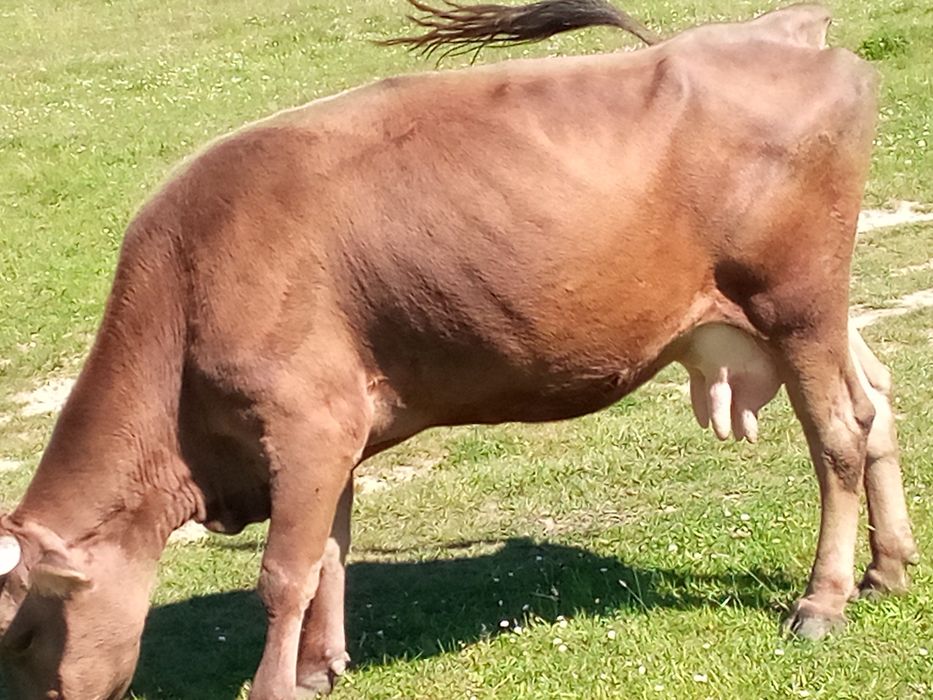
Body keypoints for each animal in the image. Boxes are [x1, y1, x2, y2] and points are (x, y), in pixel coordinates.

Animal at [0, 1, 919, 698]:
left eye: (20, 636)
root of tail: (779, 27)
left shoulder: (304, 422)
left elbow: (285, 573)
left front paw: (273, 686)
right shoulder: (335, 428)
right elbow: (330, 551)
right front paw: (321, 667)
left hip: (794, 302)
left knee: (837, 437)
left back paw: (823, 602)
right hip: (805, 309)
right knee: (875, 401)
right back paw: (889, 568)